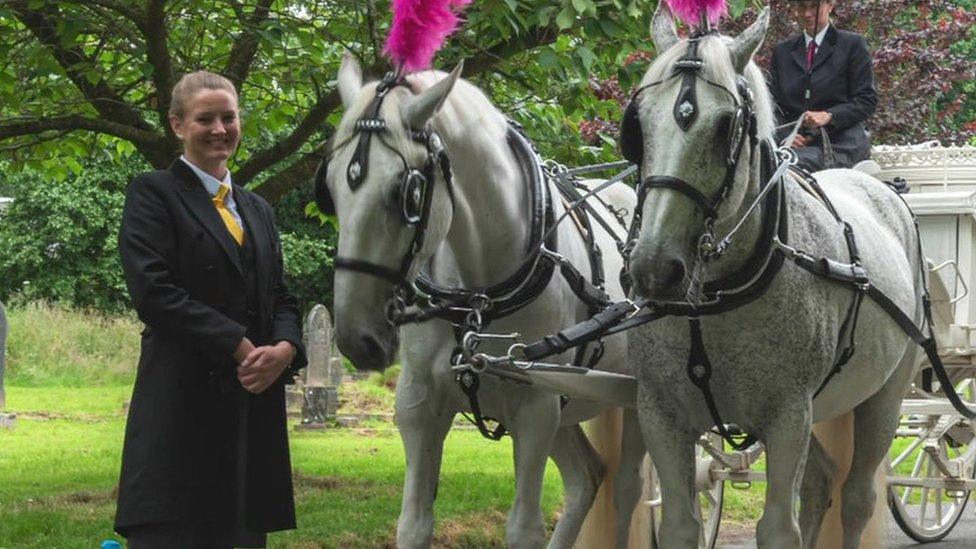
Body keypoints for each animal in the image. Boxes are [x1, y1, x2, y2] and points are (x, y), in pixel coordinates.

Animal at [316, 54, 644, 548]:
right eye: (330, 189)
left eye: (406, 193)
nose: (358, 339)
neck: (477, 297)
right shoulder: (418, 404)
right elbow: (413, 524)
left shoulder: (536, 409)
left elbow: (524, 527)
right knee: (586, 477)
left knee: (628, 489)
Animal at [624, 5, 924, 548]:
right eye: (637, 124)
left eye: (726, 126)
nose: (655, 267)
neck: (715, 297)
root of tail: (881, 187)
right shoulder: (661, 414)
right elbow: (681, 524)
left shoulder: (788, 416)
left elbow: (779, 528)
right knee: (823, 481)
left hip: (885, 397)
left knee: (857, 497)